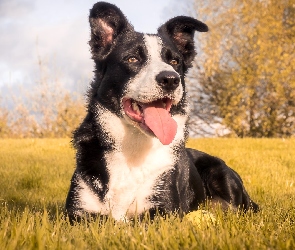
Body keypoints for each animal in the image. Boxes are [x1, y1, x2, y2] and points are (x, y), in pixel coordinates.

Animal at [65, 1, 260, 221]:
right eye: (132, 59)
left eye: (175, 62)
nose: (170, 79)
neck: (134, 145)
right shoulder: (77, 213)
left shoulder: (164, 210)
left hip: (221, 174)